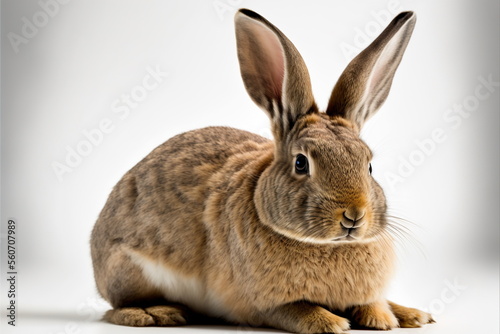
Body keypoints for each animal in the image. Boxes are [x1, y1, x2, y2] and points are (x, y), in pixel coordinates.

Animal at [90, 8, 434, 334]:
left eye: (369, 165)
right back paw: (154, 313)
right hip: (131, 270)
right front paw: (330, 322)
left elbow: (373, 301)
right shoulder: (261, 306)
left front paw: (388, 317)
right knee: (117, 306)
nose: (353, 215)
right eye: (301, 163)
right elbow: (293, 310)